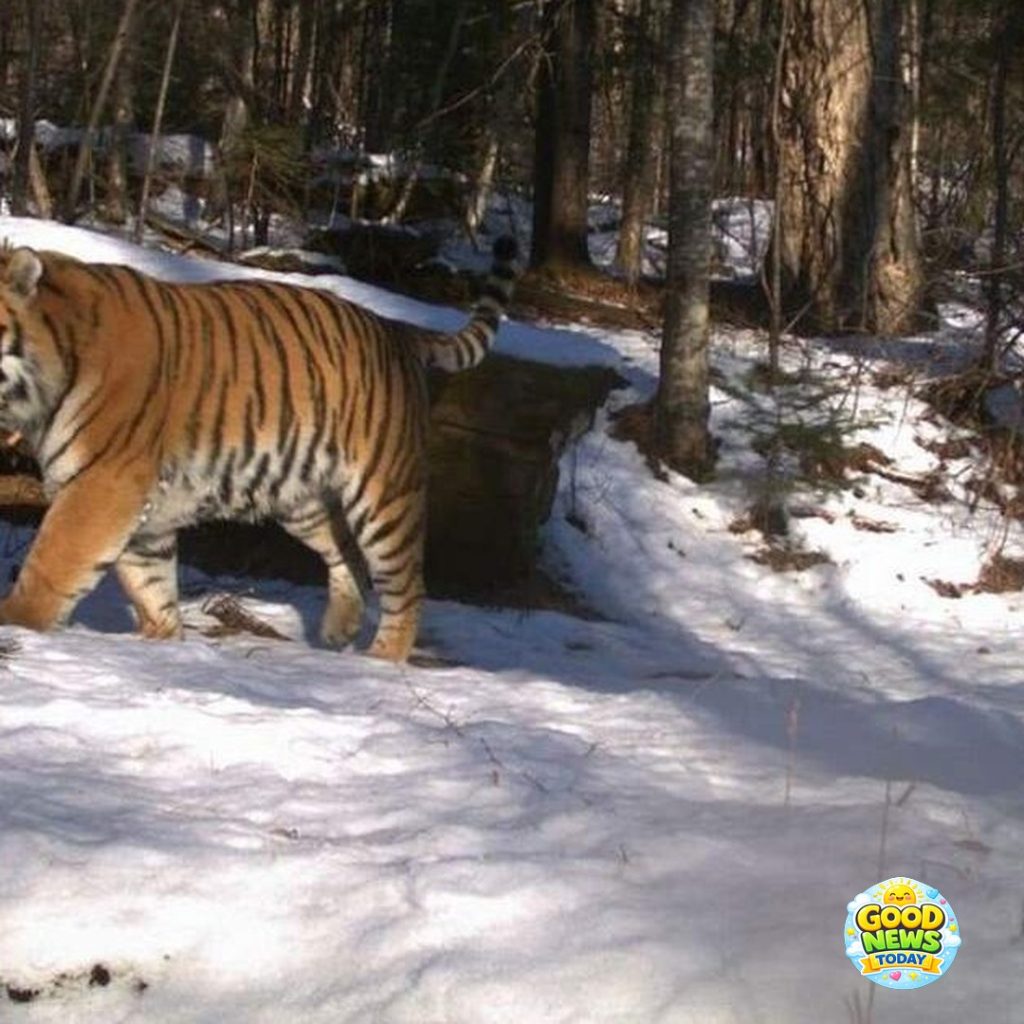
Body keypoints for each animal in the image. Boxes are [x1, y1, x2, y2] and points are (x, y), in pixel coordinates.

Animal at [0, 235, 519, 662]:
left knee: (406, 584)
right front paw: (164, 646)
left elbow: (51, 564)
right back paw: (338, 632)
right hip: (301, 499)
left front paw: (17, 626)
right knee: (347, 554)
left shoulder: (103, 482)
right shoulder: (138, 507)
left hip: (385, 493)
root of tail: (395, 327)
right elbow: (151, 585)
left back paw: (380, 662)